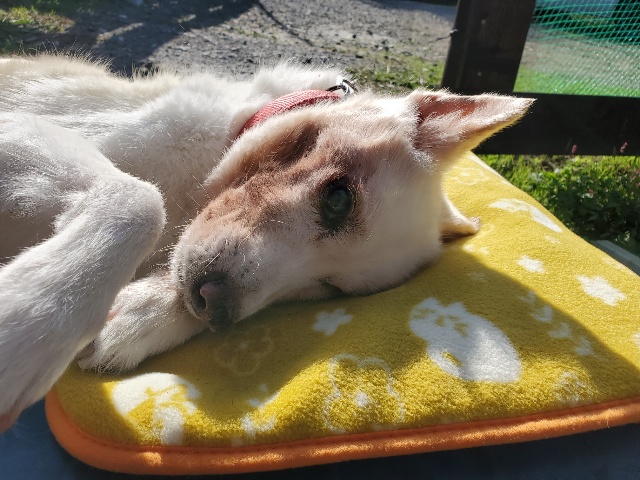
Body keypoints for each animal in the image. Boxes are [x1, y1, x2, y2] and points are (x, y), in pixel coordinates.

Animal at [0, 55, 532, 431]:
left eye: (329, 289)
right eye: (338, 199)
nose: (214, 306)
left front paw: (142, 313)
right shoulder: (22, 126)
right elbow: (141, 199)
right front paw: (29, 320)